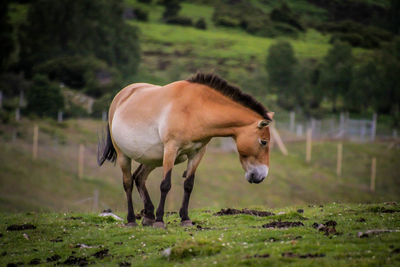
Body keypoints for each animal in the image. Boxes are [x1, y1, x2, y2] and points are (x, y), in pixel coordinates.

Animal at [98, 73, 274, 228]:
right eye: (264, 142)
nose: (261, 175)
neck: (195, 109)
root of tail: (120, 97)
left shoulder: (197, 152)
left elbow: (188, 184)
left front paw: (185, 219)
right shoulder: (171, 148)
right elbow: (165, 185)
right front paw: (160, 221)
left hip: (152, 159)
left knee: (139, 178)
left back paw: (148, 216)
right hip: (124, 155)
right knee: (128, 183)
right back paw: (132, 220)